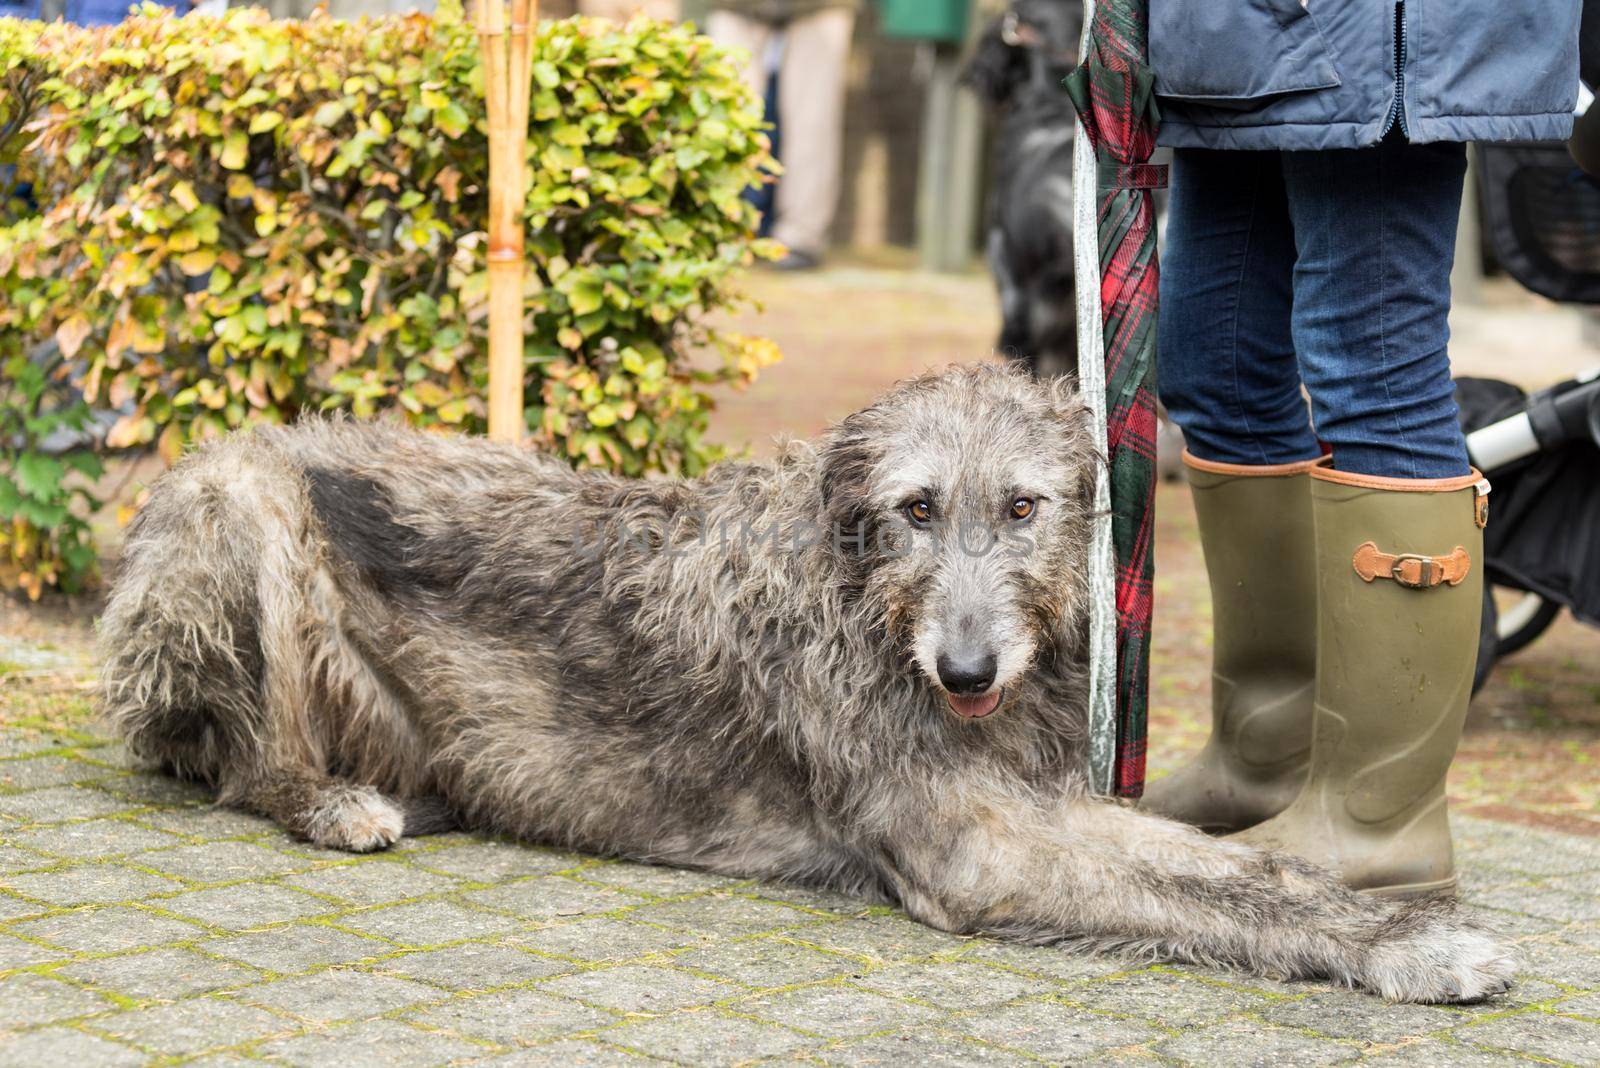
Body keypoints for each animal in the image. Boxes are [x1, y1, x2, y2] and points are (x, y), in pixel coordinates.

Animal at [100, 364, 1510, 1004]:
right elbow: (1215, 892)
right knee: (242, 767)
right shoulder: (980, 844)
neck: (866, 608)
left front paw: (1387, 916)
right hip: (242, 502)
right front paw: (1411, 946)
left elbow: (1238, 868)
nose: (965, 671)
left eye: (1023, 507)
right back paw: (333, 801)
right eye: (916, 508)